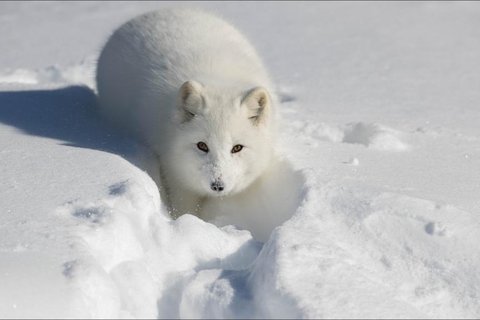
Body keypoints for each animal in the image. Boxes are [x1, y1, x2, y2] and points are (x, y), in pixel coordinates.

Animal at [96, 8, 278, 218]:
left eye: (237, 148)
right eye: (202, 146)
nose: (217, 186)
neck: (218, 78)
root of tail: (152, 12)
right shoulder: (174, 172)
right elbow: (184, 209)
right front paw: (186, 222)